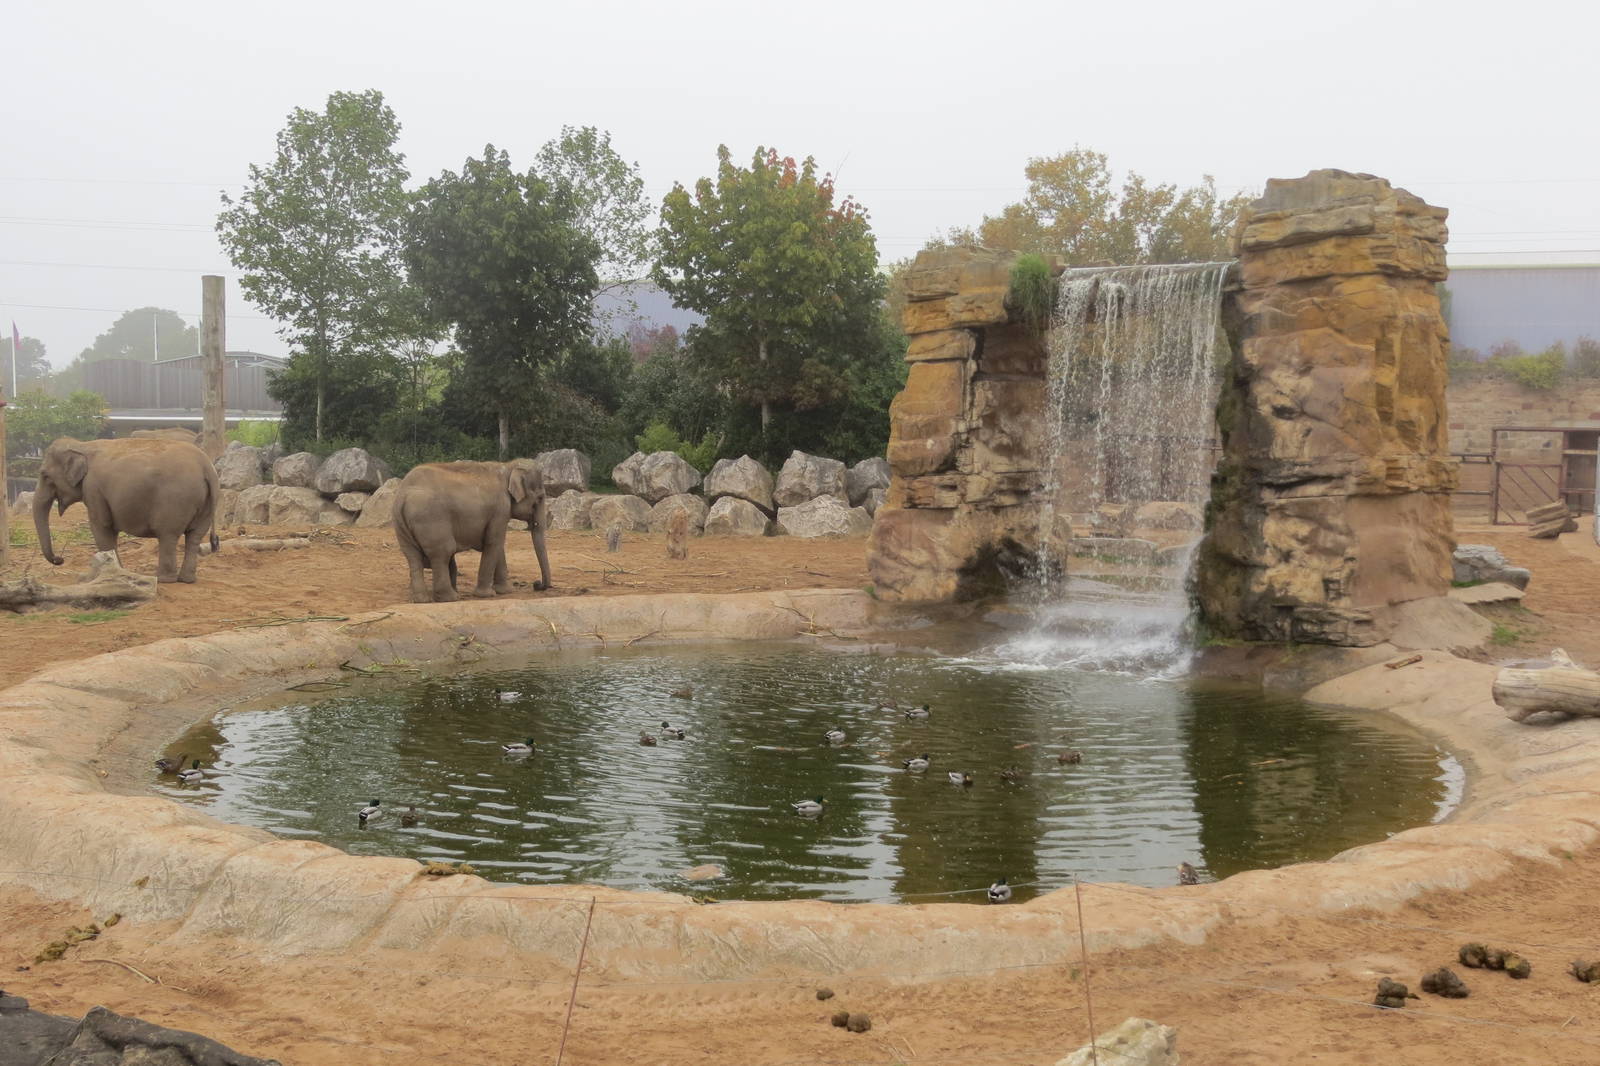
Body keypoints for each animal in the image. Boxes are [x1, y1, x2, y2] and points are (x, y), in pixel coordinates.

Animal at [33, 436, 221, 583]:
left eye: (45, 475)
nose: (59, 559)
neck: (83, 445)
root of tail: (206, 467)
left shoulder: (93, 488)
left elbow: (101, 527)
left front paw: (109, 574)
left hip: (175, 501)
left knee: (168, 535)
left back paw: (164, 579)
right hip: (207, 503)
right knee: (194, 536)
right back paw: (187, 580)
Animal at [392, 459, 551, 603]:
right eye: (540, 498)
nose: (537, 584)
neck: (508, 466)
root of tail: (403, 495)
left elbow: (497, 545)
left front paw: (505, 591)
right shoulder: (500, 508)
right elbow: (494, 542)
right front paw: (487, 595)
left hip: (401, 525)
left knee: (413, 556)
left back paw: (421, 600)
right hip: (431, 518)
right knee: (442, 553)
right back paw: (450, 598)